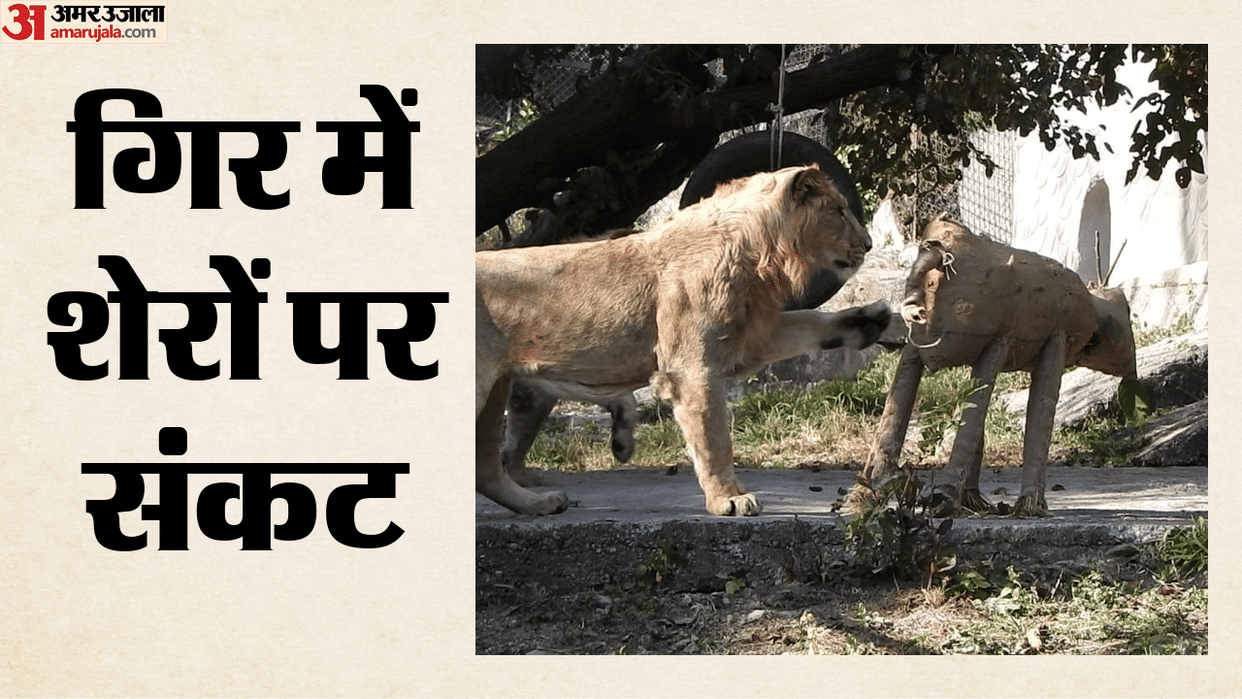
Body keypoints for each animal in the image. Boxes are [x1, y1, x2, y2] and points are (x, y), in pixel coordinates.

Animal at [477, 165, 892, 517]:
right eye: (839, 211)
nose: (870, 244)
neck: (758, 253)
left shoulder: (747, 336)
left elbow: (809, 321)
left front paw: (870, 321)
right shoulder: (690, 365)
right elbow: (713, 437)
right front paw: (728, 499)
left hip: (496, 389)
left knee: (487, 469)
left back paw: (539, 504)